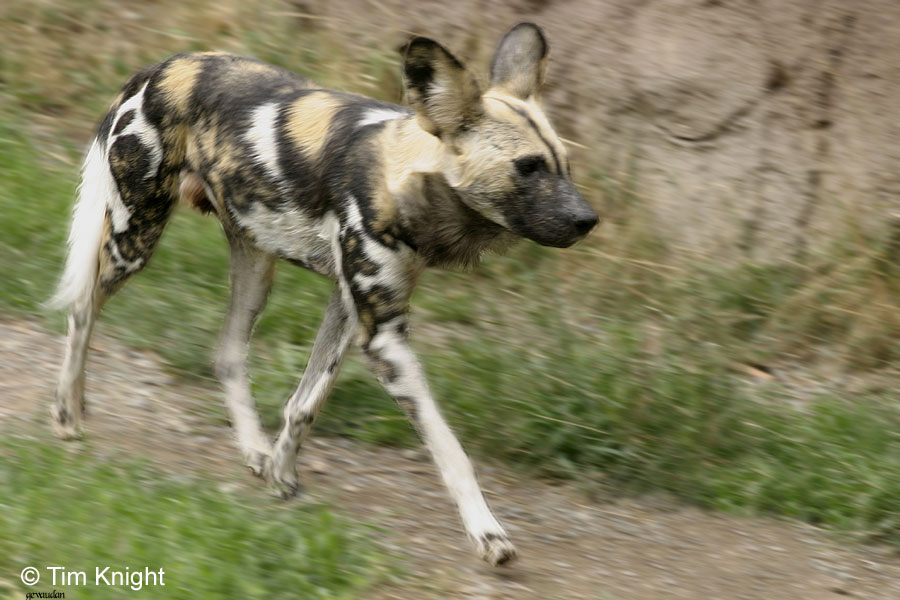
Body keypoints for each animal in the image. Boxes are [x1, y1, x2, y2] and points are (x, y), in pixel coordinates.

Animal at [47, 23, 596, 564]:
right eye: (528, 167)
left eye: (565, 164)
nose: (588, 220)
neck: (406, 179)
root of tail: (163, 66)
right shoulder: (382, 336)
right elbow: (449, 447)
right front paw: (486, 531)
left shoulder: (351, 310)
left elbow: (306, 403)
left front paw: (280, 473)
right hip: (134, 239)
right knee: (82, 310)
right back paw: (68, 414)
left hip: (254, 267)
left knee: (227, 352)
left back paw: (254, 449)